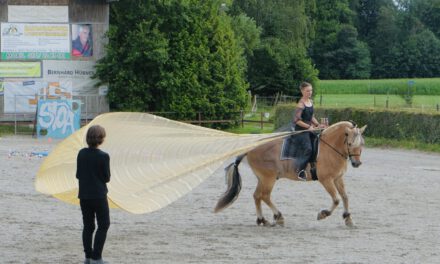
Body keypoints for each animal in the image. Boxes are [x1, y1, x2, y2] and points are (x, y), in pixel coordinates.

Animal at [215, 121, 366, 227]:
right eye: (350, 143)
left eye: (362, 144)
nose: (357, 163)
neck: (330, 148)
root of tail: (251, 147)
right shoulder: (326, 180)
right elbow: (336, 200)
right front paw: (323, 214)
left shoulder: (338, 178)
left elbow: (345, 197)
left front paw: (348, 218)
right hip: (268, 178)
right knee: (264, 196)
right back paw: (278, 217)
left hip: (262, 178)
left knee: (257, 196)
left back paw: (262, 220)